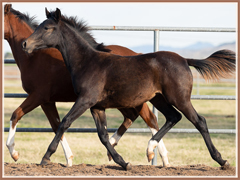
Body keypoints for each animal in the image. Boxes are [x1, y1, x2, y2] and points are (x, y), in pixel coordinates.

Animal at [21, 7, 235, 170]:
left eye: (47, 27)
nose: (25, 44)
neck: (88, 62)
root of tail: (184, 59)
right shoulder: (97, 106)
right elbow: (103, 135)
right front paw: (123, 162)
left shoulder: (85, 100)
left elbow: (64, 122)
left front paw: (46, 157)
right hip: (158, 98)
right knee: (173, 117)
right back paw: (150, 148)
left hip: (179, 98)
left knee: (199, 121)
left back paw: (221, 160)